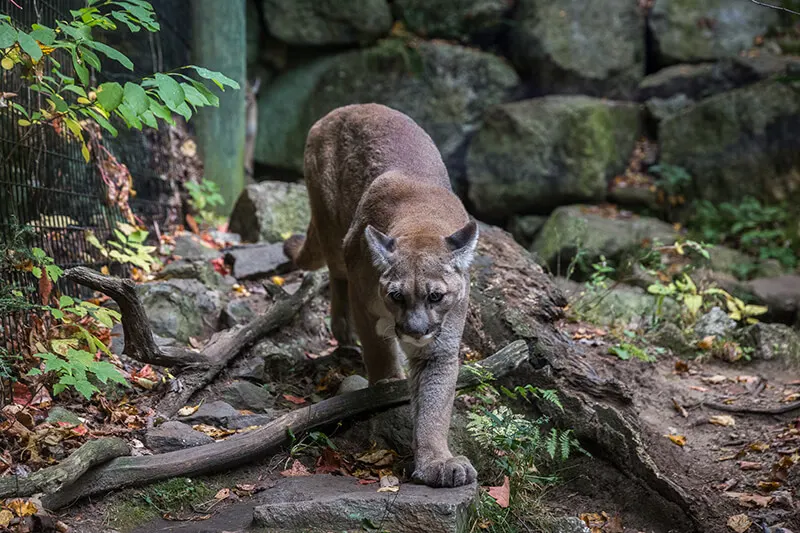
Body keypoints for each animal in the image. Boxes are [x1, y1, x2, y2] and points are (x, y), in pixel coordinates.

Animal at [284, 104, 478, 486]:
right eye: (396, 296)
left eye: (436, 297)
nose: (416, 330)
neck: (422, 222)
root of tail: (343, 109)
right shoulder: (366, 300)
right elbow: (377, 347)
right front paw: (389, 380)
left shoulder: (440, 345)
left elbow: (435, 404)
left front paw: (437, 461)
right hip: (333, 228)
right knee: (336, 274)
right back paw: (343, 331)